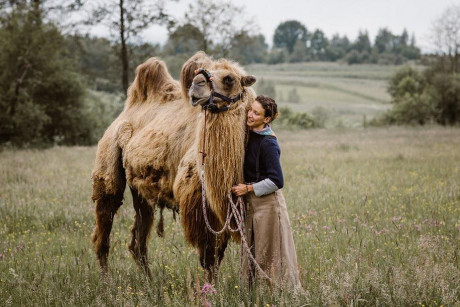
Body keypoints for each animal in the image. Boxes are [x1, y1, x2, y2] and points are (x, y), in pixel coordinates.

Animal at [91, 51, 256, 280]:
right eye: (201, 72)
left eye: (229, 78)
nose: (197, 84)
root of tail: (127, 110)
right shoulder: (196, 202)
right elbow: (208, 256)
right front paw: (210, 287)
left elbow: (218, 252)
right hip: (109, 152)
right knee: (106, 214)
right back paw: (107, 279)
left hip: (140, 186)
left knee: (139, 235)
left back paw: (149, 280)